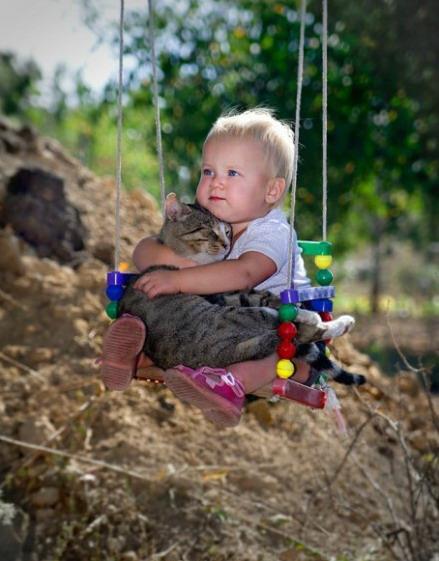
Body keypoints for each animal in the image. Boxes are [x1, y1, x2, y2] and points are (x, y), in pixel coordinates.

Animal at [119, 194, 365, 386]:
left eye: (227, 231)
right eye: (208, 230)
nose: (227, 244)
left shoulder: (228, 292)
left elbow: (263, 295)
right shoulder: (223, 296)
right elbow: (266, 298)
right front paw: (306, 313)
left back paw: (342, 323)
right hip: (239, 317)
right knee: (294, 329)